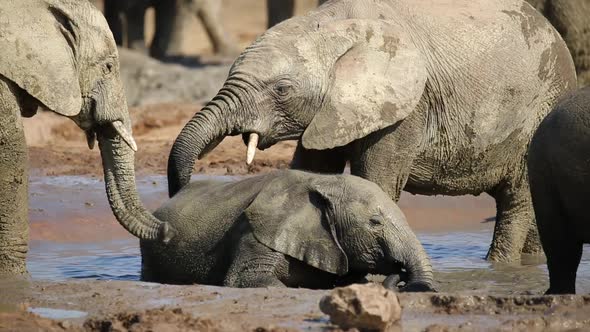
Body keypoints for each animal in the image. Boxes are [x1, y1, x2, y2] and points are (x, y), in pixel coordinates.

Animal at [168, 0, 580, 264]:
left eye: (282, 90)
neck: (330, 25)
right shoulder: (331, 111)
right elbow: (313, 169)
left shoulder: (406, 108)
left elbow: (375, 181)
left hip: (541, 106)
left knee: (517, 201)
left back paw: (499, 266)